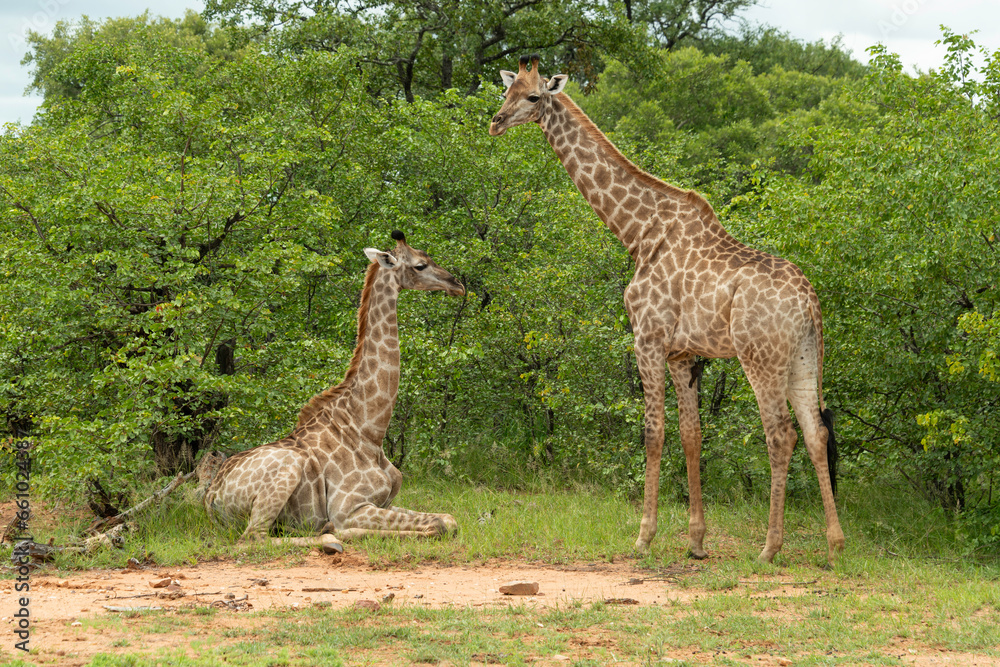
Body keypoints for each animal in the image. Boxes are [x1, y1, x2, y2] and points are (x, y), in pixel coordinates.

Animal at [196, 231, 464, 552]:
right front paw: (340, 532)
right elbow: (440, 524)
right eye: (421, 265)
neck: (370, 430)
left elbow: (448, 518)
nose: (458, 285)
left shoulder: (385, 503)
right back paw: (330, 539)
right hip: (287, 470)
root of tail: (211, 497)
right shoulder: (349, 508)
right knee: (251, 539)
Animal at [489, 56, 844, 565]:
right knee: (816, 433)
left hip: (761, 357)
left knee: (781, 434)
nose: (497, 122)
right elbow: (691, 436)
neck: (637, 231)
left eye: (534, 96)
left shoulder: (648, 338)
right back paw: (835, 545)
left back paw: (769, 547)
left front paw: (644, 537)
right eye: (505, 91)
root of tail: (810, 303)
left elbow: (653, 433)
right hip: (804, 357)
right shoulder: (684, 354)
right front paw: (696, 542)